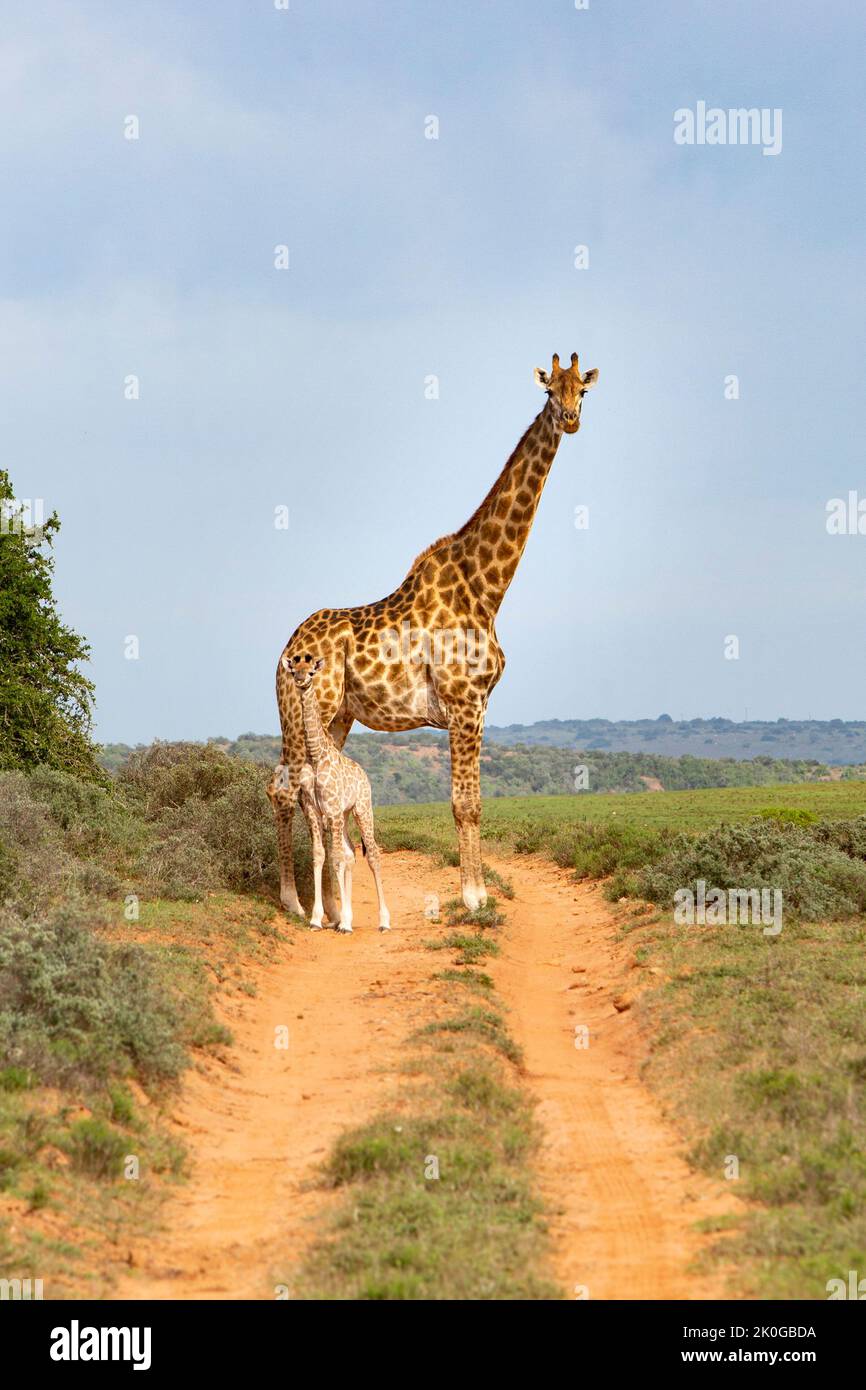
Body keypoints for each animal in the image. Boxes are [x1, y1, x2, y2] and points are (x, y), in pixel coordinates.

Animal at [283, 653, 391, 934]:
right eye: (294, 671)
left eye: (311, 671)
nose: (301, 681)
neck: (315, 755)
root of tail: (364, 774)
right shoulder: (314, 810)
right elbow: (320, 855)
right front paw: (316, 919)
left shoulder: (331, 809)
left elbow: (335, 858)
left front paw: (343, 923)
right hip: (344, 815)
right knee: (351, 853)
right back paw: (349, 917)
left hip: (362, 808)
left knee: (372, 854)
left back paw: (384, 921)